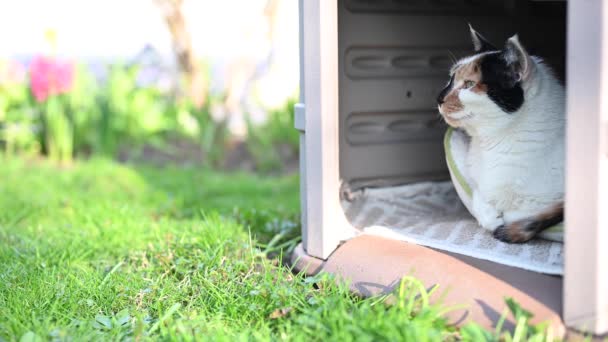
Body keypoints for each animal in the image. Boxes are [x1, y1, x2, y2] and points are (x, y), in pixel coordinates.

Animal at [436, 26, 564, 243]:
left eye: (469, 84)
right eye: (451, 78)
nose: (439, 98)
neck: (494, 142)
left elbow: (525, 211)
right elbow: (477, 191)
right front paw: (489, 216)